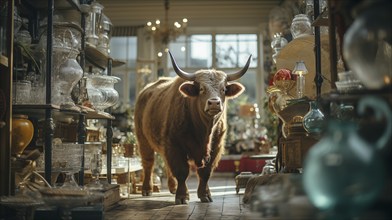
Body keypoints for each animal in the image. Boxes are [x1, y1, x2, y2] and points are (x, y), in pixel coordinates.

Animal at [135, 50, 251, 204]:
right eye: (201, 89)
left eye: (223, 89)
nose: (214, 103)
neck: (204, 131)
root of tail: (145, 91)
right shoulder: (174, 145)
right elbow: (182, 171)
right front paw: (182, 196)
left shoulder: (216, 147)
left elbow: (205, 173)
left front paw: (205, 194)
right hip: (143, 139)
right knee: (148, 162)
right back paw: (147, 189)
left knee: (166, 164)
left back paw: (172, 187)